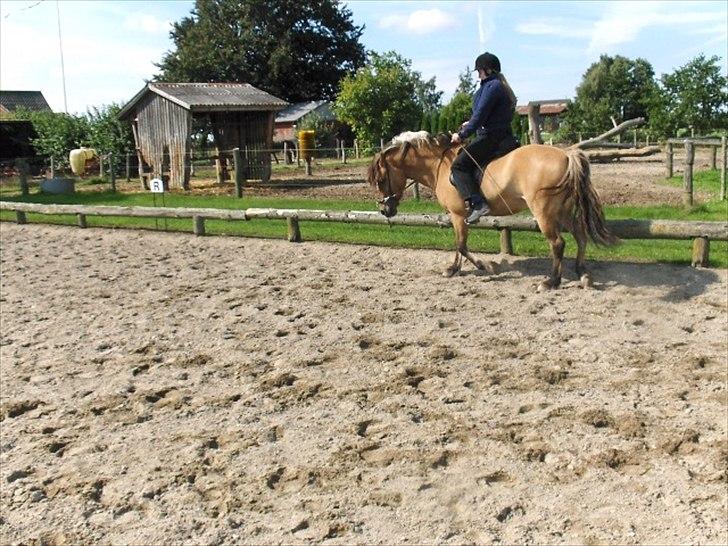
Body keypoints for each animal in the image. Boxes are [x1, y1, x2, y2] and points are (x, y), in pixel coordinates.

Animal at [366, 131, 616, 288]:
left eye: (381, 180)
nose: (385, 210)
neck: (440, 164)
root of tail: (566, 154)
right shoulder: (456, 216)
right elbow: (458, 244)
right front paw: (454, 269)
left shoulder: (458, 215)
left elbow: (461, 244)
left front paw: (485, 266)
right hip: (562, 211)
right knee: (580, 235)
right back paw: (582, 273)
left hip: (544, 212)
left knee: (558, 243)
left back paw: (551, 282)